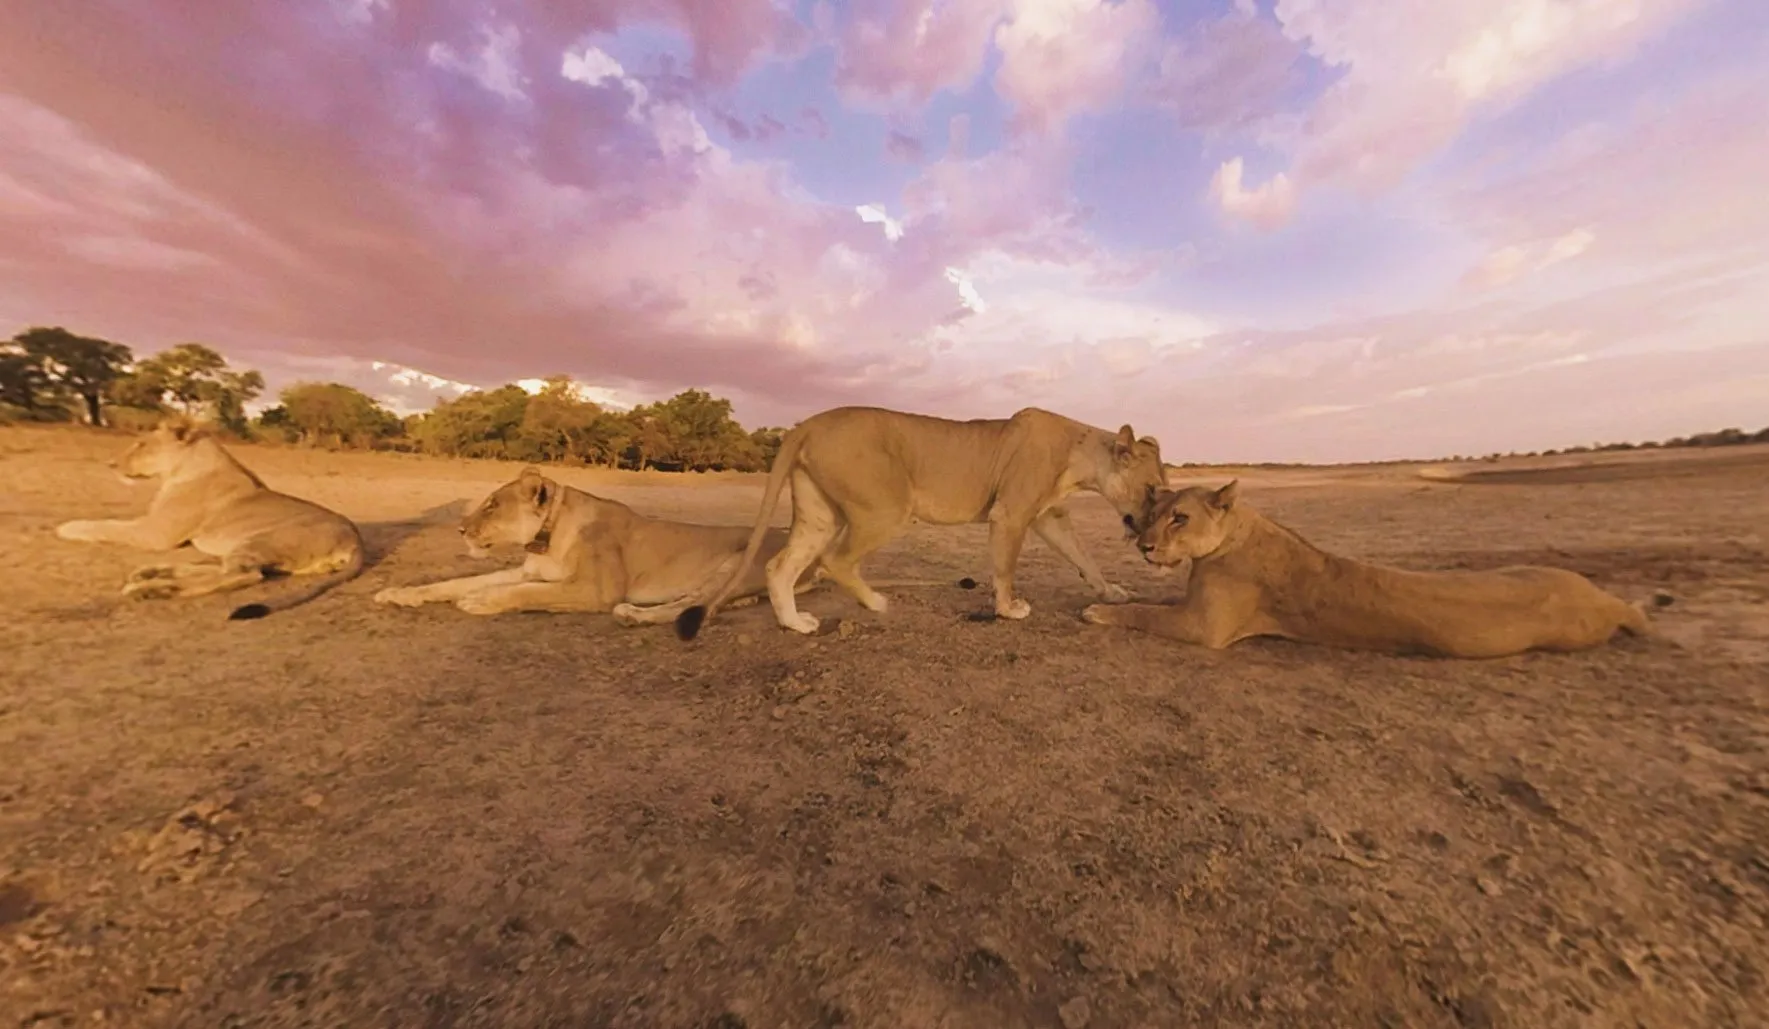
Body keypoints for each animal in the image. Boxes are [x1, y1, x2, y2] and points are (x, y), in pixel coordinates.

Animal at [54, 418, 366, 619]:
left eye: (141, 444)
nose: (110, 465)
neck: (181, 468)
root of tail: (354, 538)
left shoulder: (155, 534)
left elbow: (107, 525)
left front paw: (66, 527)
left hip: (263, 539)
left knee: (241, 575)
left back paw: (151, 589)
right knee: (217, 569)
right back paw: (151, 574)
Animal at [373, 467, 974, 623]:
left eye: (493, 506)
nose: (459, 530)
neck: (549, 535)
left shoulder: (592, 588)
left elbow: (515, 596)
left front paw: (477, 603)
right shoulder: (530, 570)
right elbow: (457, 579)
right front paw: (400, 594)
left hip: (734, 560)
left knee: (689, 608)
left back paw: (633, 616)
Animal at [674, 405, 1167, 641]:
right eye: (1152, 491)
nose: (1146, 532)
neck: (1082, 458)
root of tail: (809, 423)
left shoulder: (1049, 516)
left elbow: (1084, 558)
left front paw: (1113, 592)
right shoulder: (1011, 513)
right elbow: (1005, 567)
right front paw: (1009, 609)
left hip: (817, 514)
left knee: (780, 566)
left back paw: (796, 624)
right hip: (887, 509)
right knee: (835, 561)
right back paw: (876, 603)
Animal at [1081, 481, 1672, 658]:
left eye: (1179, 517)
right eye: (1155, 510)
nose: (1144, 546)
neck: (1236, 531)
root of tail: (1600, 602)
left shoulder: (1205, 627)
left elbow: (1146, 613)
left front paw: (1095, 611)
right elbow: (1148, 601)